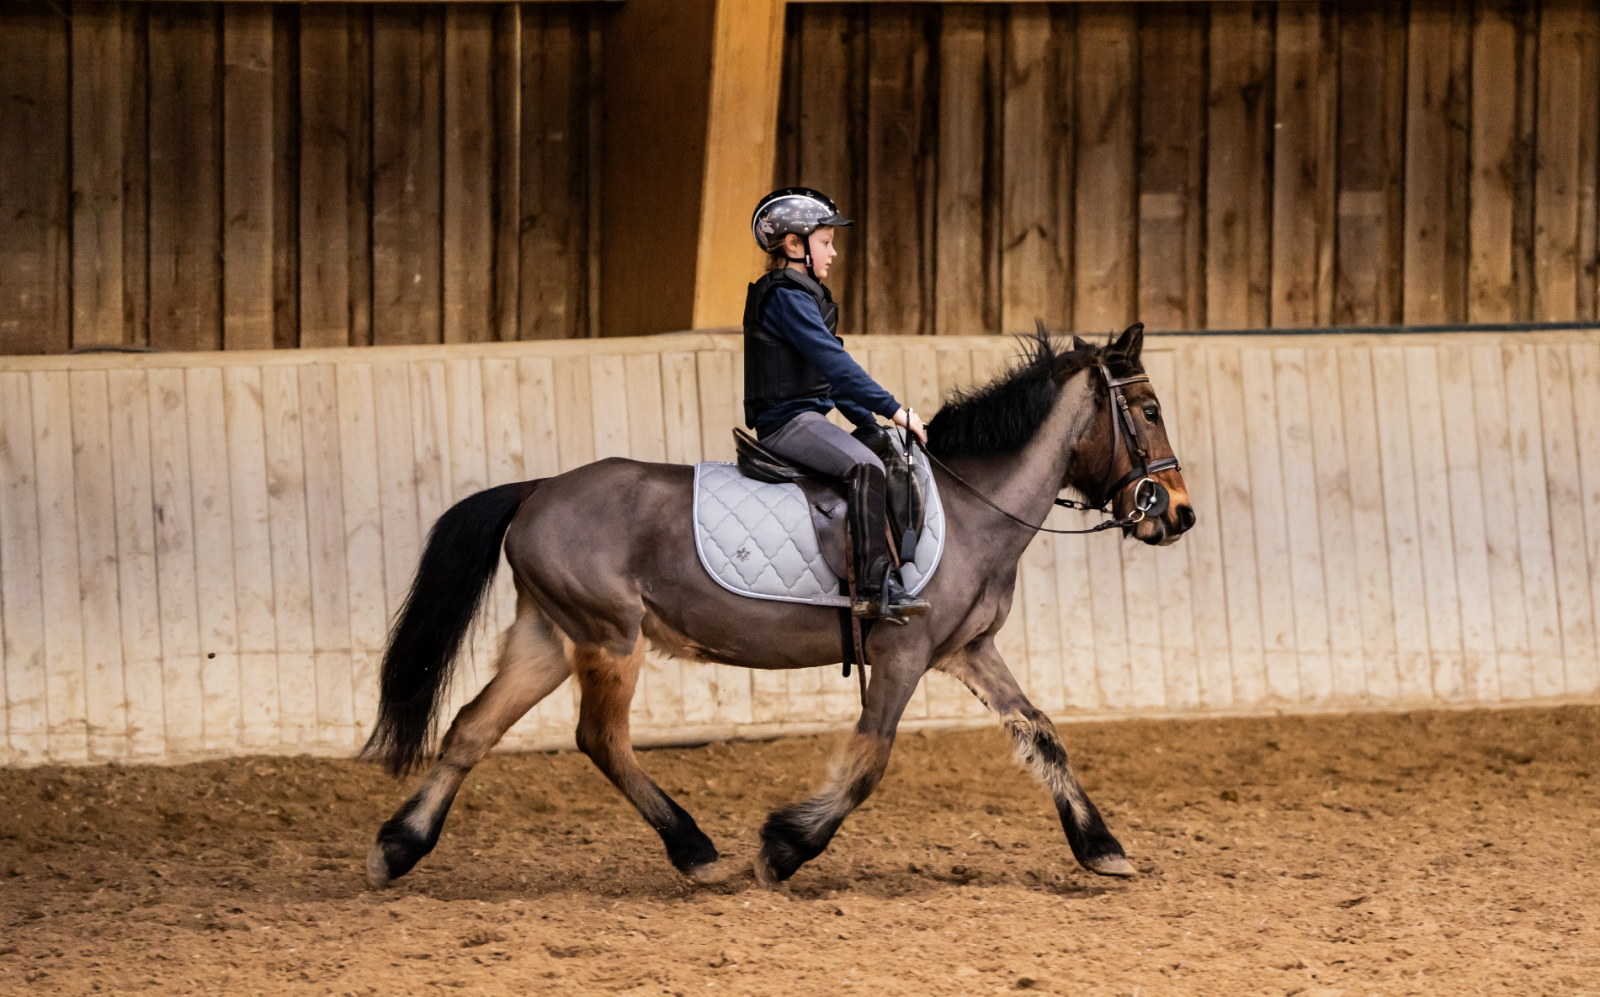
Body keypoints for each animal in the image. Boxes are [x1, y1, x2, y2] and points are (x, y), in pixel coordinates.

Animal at [360, 326, 1190, 889]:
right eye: (1148, 408)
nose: (1176, 513)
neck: (970, 507)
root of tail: (537, 489)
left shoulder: (968, 651)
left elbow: (1041, 733)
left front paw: (1101, 846)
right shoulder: (902, 652)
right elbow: (869, 759)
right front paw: (786, 847)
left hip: (548, 635)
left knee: (474, 727)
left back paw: (398, 846)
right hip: (609, 639)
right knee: (600, 737)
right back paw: (695, 850)